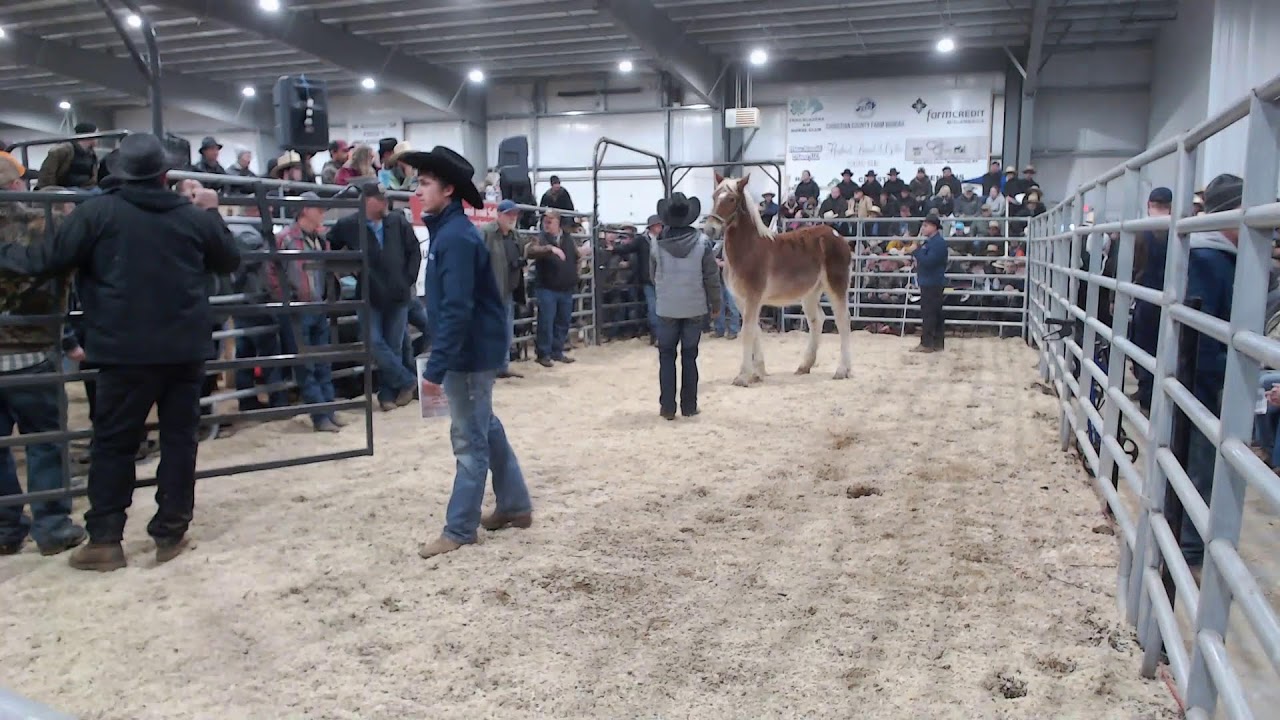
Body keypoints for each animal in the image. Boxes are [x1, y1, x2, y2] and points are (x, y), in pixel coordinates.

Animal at [703, 173, 853, 387]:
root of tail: (837, 236)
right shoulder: (741, 300)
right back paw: (804, 366)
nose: (710, 230)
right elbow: (755, 331)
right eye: (714, 196)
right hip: (810, 293)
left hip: (836, 286)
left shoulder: (753, 297)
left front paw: (743, 376)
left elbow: (747, 332)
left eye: (731, 199)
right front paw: (758, 373)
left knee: (843, 321)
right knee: (817, 320)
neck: (749, 249)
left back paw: (842, 370)